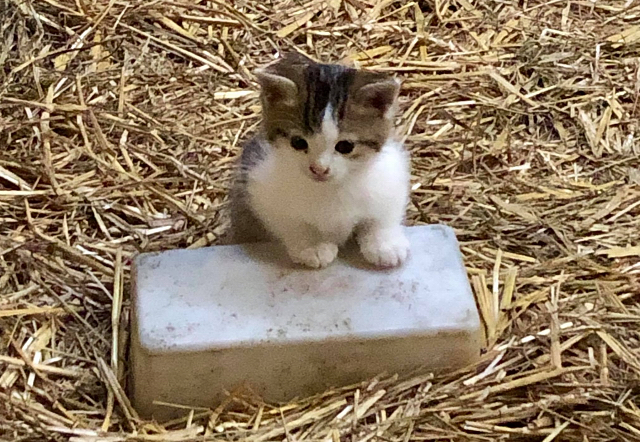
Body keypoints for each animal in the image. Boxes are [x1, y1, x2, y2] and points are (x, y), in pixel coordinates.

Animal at [229, 52, 410, 270]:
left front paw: (384, 243)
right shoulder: (260, 187)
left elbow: (383, 214)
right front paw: (312, 246)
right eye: (298, 142)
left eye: (345, 146)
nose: (319, 169)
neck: (330, 189)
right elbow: (290, 222)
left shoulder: (390, 178)